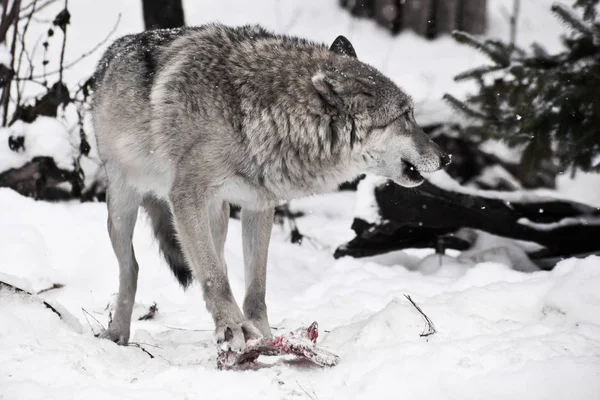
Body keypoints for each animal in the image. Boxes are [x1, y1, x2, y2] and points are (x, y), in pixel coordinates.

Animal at [88, 23, 446, 352]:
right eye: (405, 116)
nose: (447, 156)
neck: (257, 115)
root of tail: (110, 54)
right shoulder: (186, 197)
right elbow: (214, 278)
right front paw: (233, 328)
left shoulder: (258, 205)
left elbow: (255, 287)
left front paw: (263, 336)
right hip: (123, 206)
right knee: (133, 269)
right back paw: (118, 334)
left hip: (217, 215)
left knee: (217, 261)